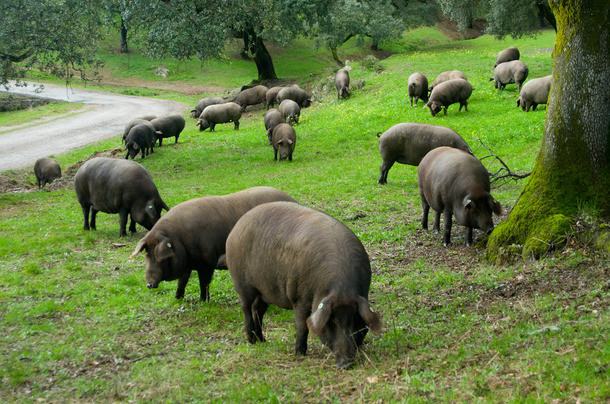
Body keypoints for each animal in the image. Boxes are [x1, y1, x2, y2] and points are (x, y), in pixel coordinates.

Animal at [131, 186, 296, 300]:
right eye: (147, 254)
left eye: (158, 257)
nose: (149, 284)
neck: (179, 238)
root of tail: (294, 200)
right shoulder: (188, 265)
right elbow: (182, 281)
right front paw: (177, 298)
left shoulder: (207, 261)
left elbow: (204, 282)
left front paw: (203, 301)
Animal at [226, 202, 380, 370]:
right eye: (332, 322)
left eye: (356, 320)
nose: (345, 364)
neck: (342, 289)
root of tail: (237, 226)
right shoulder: (299, 297)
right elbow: (302, 326)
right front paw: (299, 354)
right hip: (241, 283)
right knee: (246, 308)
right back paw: (252, 341)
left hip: (265, 292)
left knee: (257, 310)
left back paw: (262, 341)